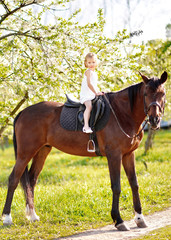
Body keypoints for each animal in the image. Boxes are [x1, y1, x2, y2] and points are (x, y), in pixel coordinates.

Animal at [1, 71, 167, 231]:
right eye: (145, 94)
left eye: (163, 94)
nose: (155, 120)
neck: (122, 113)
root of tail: (23, 112)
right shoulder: (114, 155)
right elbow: (116, 187)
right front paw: (118, 221)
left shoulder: (128, 154)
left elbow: (134, 184)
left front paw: (139, 218)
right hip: (25, 154)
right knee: (13, 179)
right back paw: (7, 218)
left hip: (42, 151)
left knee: (31, 180)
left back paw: (33, 215)